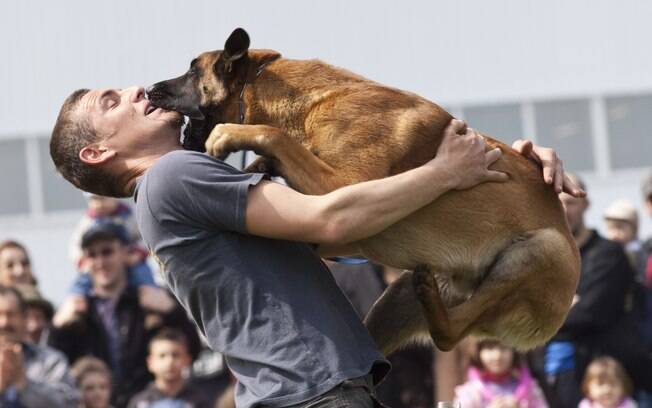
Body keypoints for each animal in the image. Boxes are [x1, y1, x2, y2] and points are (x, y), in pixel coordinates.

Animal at [148, 27, 580, 354]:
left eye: (192, 71)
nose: (150, 89)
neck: (307, 104)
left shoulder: (345, 185)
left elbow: (273, 137)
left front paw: (232, 138)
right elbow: (274, 158)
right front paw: (258, 165)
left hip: (540, 250)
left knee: (448, 335)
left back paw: (433, 301)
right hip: (394, 300)